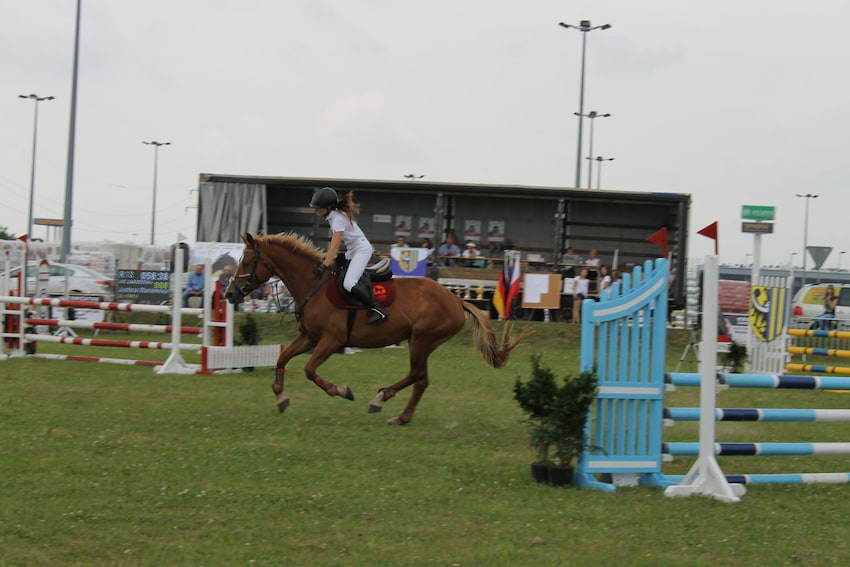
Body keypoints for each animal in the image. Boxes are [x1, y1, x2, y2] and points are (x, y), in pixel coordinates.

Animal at [222, 233, 524, 424]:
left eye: (246, 262)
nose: (230, 293)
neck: (312, 285)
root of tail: (456, 298)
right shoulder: (309, 337)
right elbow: (282, 359)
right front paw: (281, 397)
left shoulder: (331, 340)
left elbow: (309, 370)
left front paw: (341, 390)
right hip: (420, 342)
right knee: (421, 379)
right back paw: (399, 414)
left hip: (421, 340)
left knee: (417, 376)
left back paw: (385, 401)